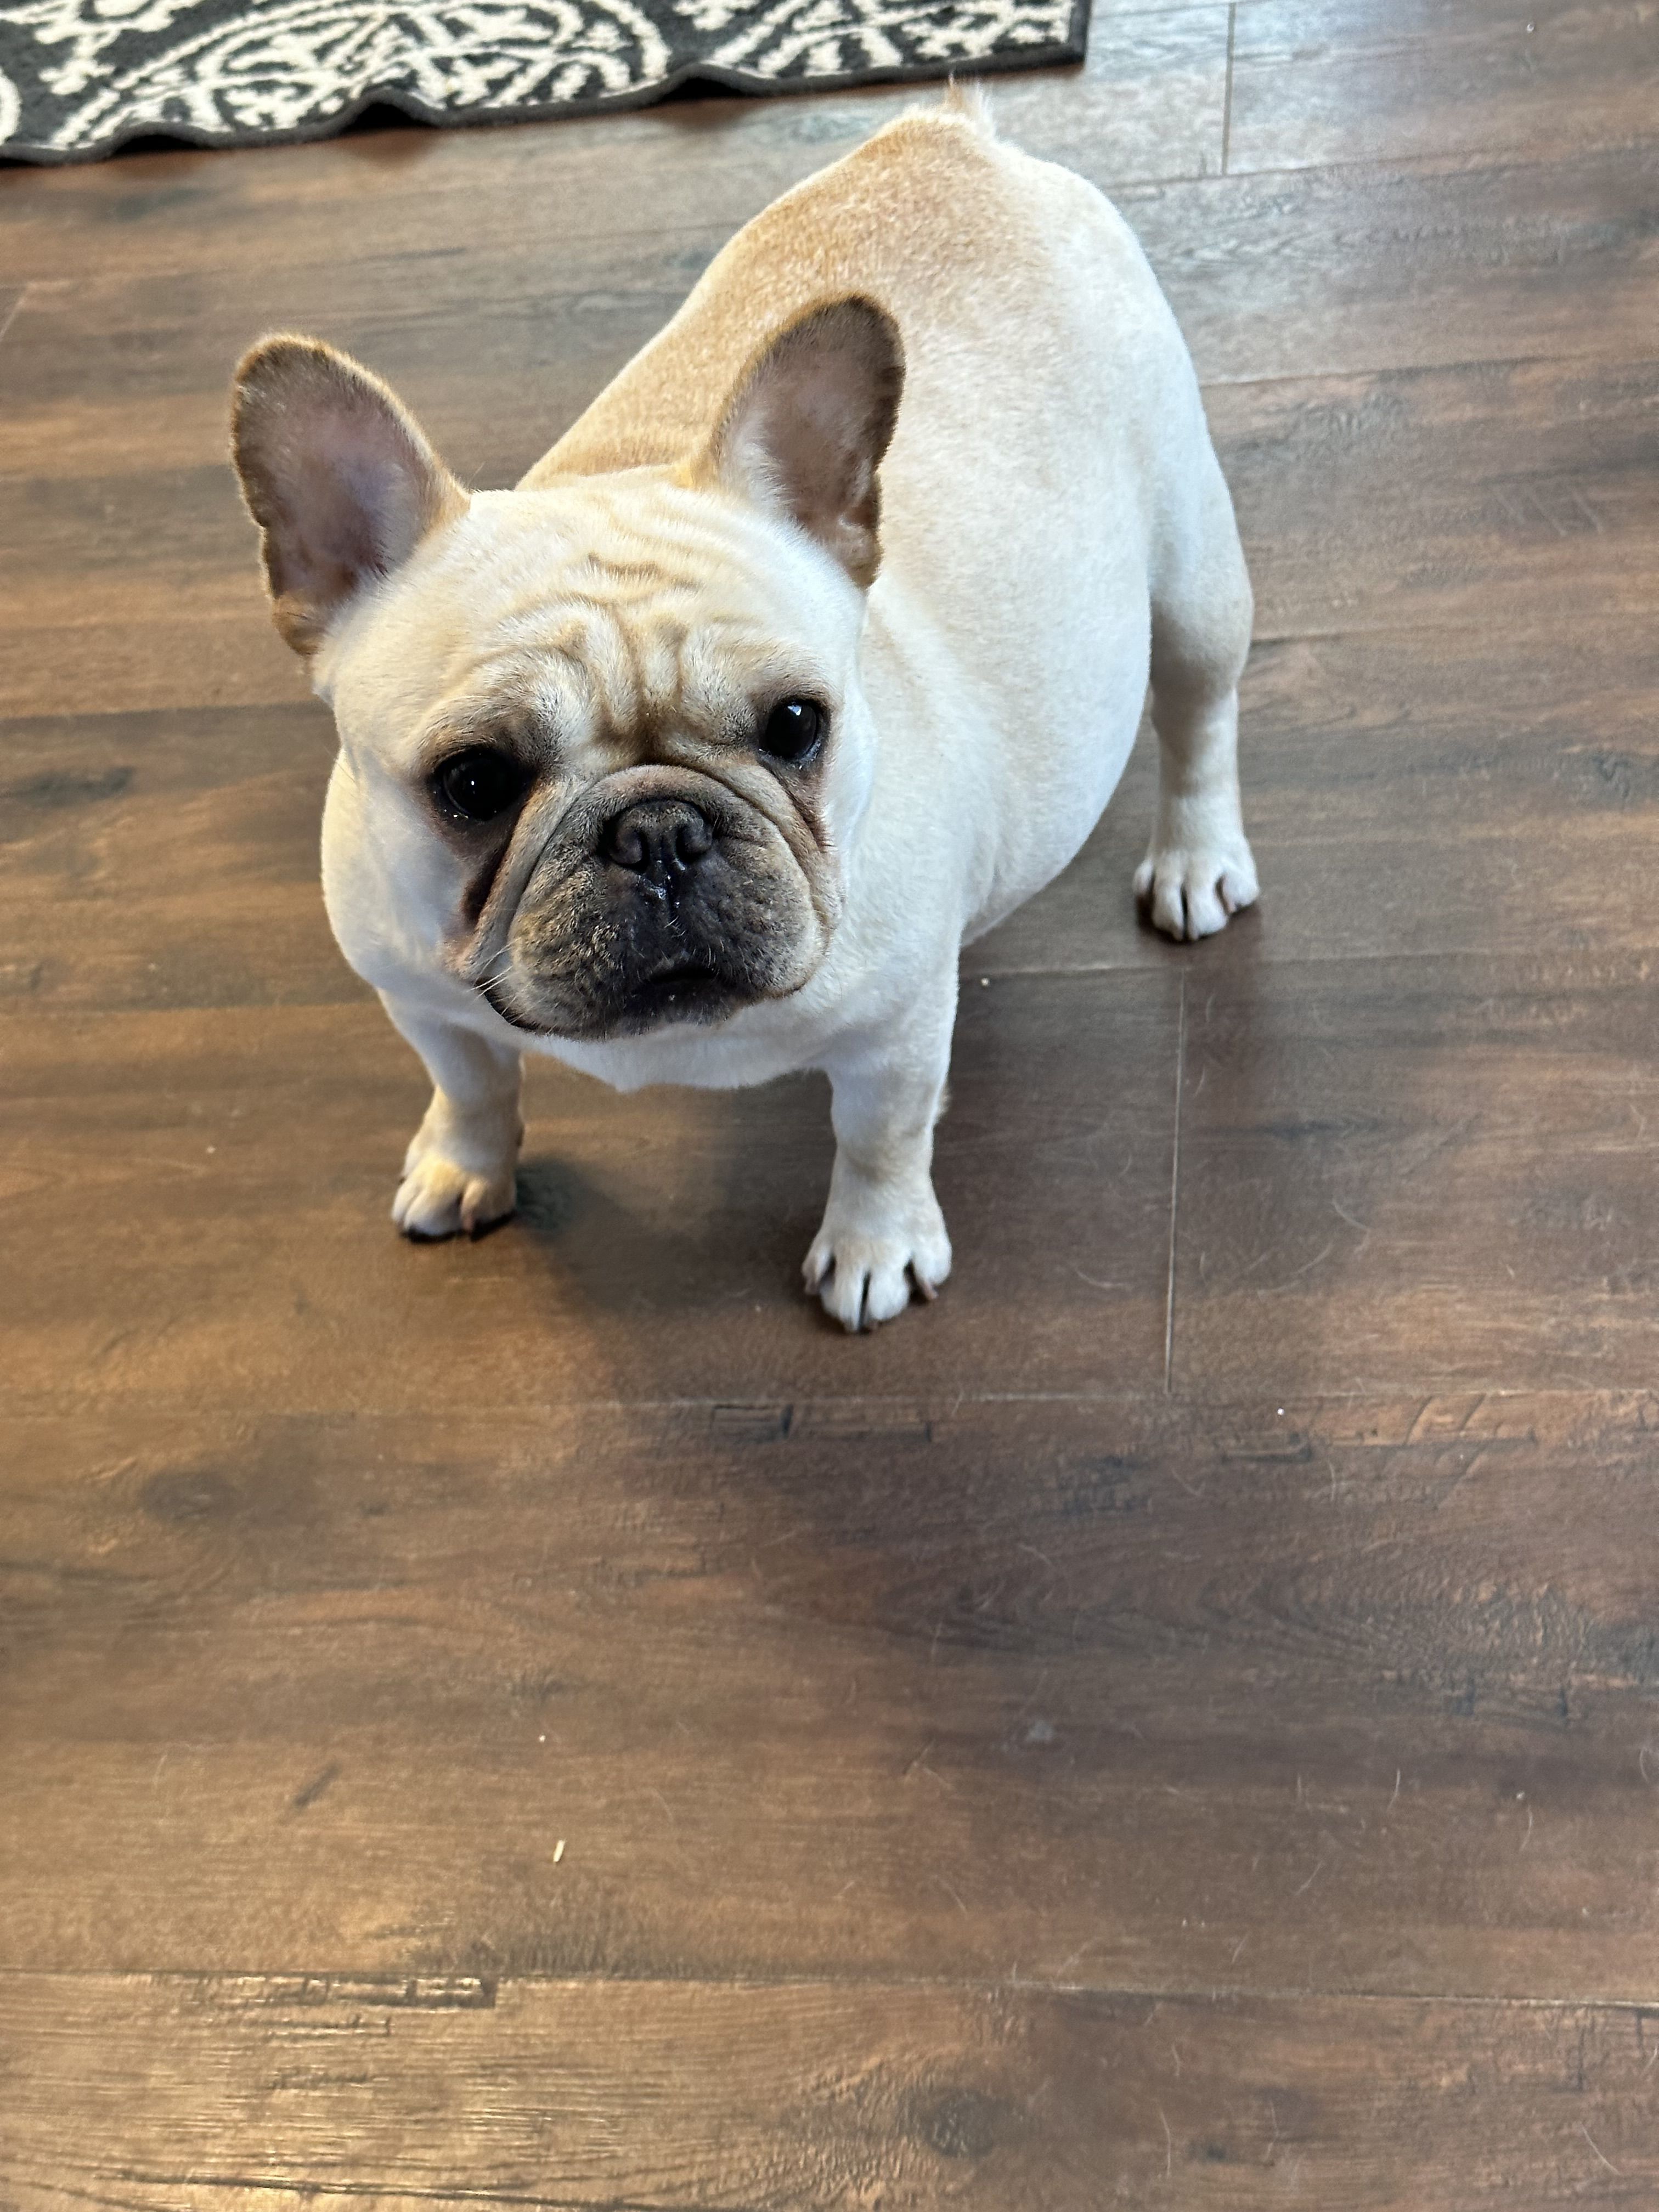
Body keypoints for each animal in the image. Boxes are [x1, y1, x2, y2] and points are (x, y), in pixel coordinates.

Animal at [230, 90, 1257, 1331]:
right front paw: (464, 1164)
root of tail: (946, 133)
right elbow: (470, 1084)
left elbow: (880, 1139)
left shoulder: (895, 1037)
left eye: (797, 726)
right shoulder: (420, 999)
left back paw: (1196, 860)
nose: (659, 832)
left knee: (1199, 714)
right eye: (472, 782)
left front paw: (874, 1247)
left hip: (1193, 569)